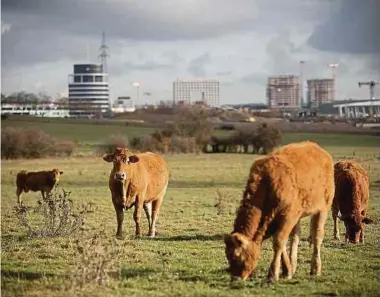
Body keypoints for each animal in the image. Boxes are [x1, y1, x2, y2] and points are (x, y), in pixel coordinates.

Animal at [224, 141, 334, 282]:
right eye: (227, 255)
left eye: (236, 256)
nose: (235, 278)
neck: (267, 182)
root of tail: (320, 151)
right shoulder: (279, 220)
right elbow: (282, 242)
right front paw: (287, 270)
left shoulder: (288, 216)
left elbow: (279, 241)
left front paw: (273, 274)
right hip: (299, 216)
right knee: (295, 237)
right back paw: (293, 265)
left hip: (322, 209)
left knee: (317, 236)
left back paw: (315, 268)